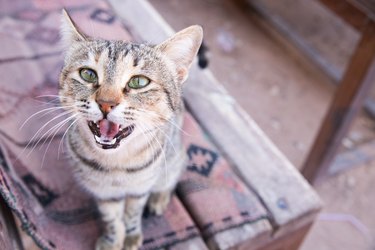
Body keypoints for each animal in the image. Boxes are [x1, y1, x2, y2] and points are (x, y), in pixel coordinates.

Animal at [59, 9, 203, 250]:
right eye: (88, 74)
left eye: (138, 82)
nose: (106, 103)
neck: (116, 163)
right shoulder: (103, 192)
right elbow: (111, 218)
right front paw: (112, 239)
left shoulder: (140, 188)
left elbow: (133, 213)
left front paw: (132, 235)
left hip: (173, 159)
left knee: (171, 177)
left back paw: (159, 198)